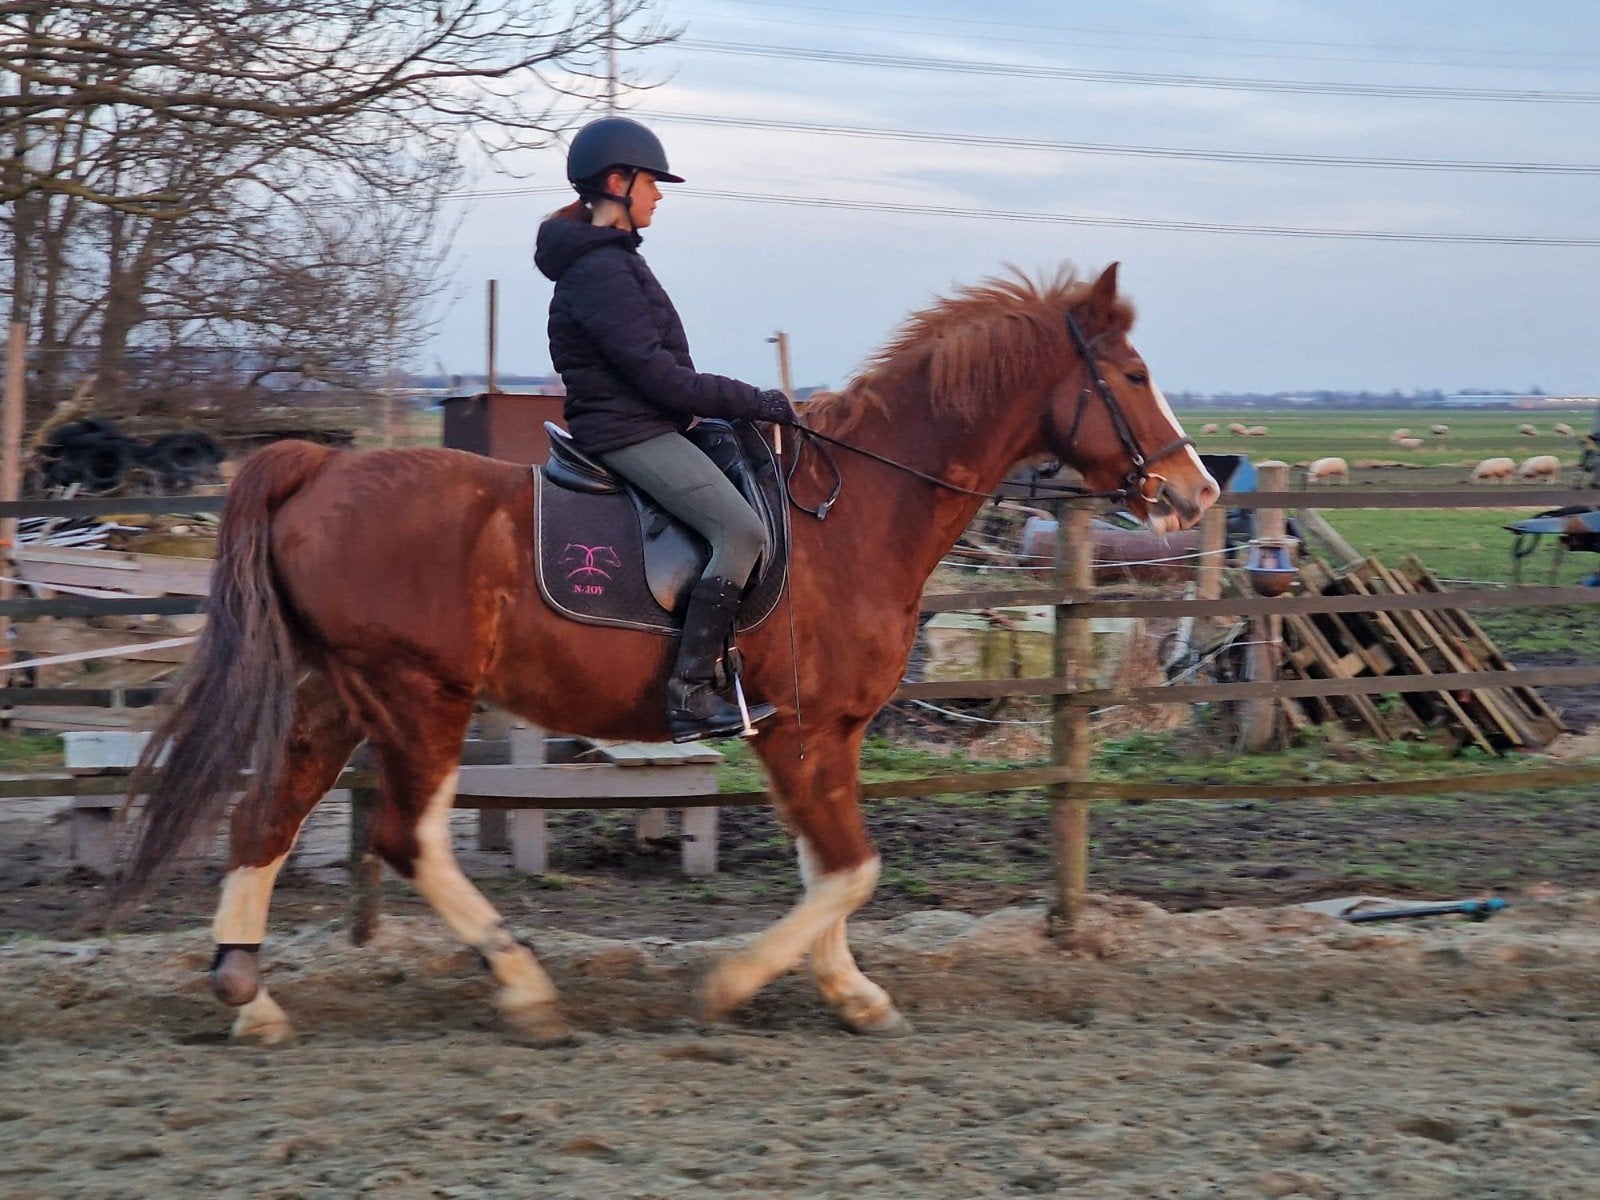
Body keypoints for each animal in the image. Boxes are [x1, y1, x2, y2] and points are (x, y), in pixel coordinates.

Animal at [121, 262, 1220, 1045]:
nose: (1197, 492)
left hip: (338, 693)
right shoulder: (805, 730)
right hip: (417, 695)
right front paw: (737, 985)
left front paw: (847, 991)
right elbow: (850, 869)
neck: (859, 510)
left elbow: (829, 868)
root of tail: (317, 469)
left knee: (267, 816)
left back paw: (250, 998)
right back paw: (523, 990)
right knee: (407, 838)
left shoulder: (813, 733)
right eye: (1131, 376)